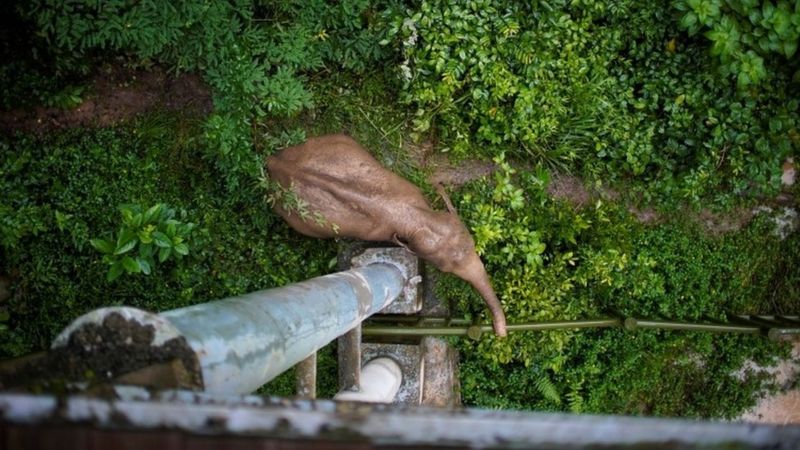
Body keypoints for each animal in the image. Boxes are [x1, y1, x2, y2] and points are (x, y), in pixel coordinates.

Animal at [268, 134, 506, 338]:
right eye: (445, 269)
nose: (499, 333)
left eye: (474, 244)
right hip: (297, 220)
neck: (416, 218)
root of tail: (272, 162)